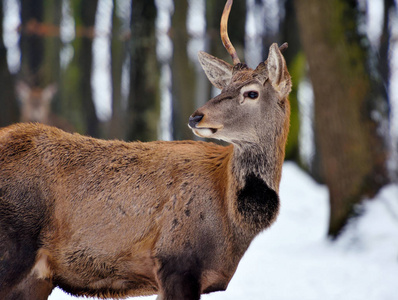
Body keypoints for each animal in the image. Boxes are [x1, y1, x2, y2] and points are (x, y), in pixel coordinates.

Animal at [0, 1, 292, 298]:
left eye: (252, 93)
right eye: (224, 87)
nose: (196, 117)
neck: (231, 222)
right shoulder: (176, 259)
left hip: (37, 277)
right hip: (11, 248)